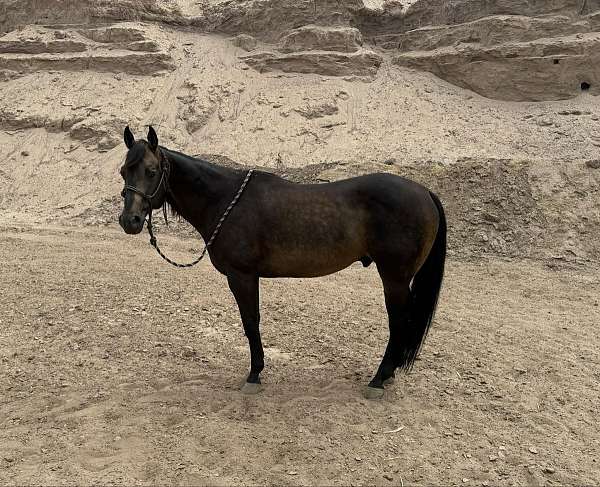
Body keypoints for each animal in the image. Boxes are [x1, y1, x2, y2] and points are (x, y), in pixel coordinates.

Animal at [118, 126, 446, 400]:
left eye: (151, 171)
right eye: (123, 171)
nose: (129, 221)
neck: (225, 200)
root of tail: (424, 192)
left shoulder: (242, 276)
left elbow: (251, 322)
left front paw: (254, 375)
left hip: (394, 279)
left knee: (398, 323)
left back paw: (379, 380)